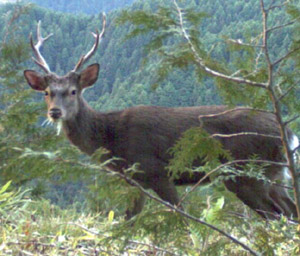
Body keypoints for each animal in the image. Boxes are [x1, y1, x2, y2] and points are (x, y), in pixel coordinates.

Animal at [23, 16, 298, 220]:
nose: (55, 112)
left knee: (276, 215)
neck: (112, 138)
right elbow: (128, 219)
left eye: (73, 91)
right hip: (275, 174)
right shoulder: (133, 180)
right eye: (47, 92)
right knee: (290, 210)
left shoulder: (156, 171)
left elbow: (182, 216)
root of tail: (288, 134)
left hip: (247, 173)